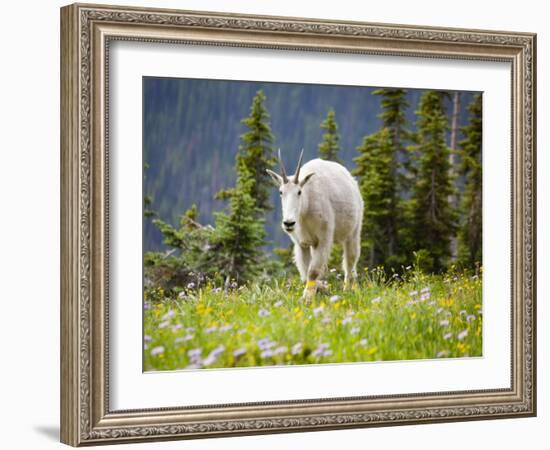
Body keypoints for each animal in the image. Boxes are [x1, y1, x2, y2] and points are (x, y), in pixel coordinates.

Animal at [268, 149, 364, 300]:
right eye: (281, 192)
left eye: (299, 192)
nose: (289, 223)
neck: (304, 210)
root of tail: (352, 180)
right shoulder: (302, 243)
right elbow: (305, 273)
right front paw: (321, 288)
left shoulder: (324, 238)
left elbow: (312, 271)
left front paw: (307, 298)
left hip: (353, 231)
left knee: (350, 262)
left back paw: (348, 289)